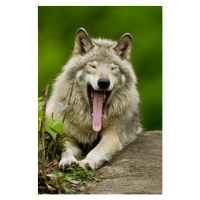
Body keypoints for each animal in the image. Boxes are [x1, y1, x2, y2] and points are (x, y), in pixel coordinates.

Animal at [46, 27, 141, 170]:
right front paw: (67, 161)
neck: (90, 124)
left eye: (113, 68)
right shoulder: (68, 135)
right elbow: (65, 147)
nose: (104, 82)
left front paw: (86, 162)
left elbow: (96, 150)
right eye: (92, 66)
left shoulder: (112, 135)